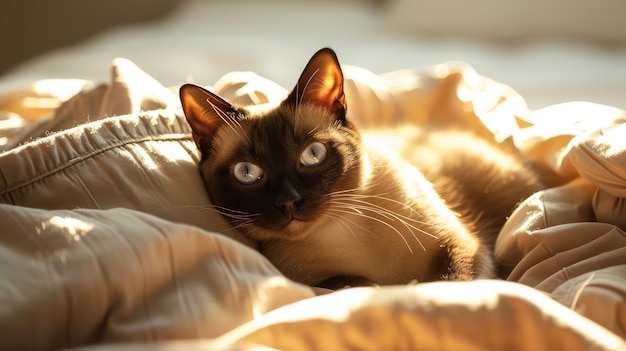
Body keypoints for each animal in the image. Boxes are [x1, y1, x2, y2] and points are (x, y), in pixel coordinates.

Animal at [178, 48, 544, 290]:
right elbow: (356, 283)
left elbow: (455, 283)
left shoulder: (462, 245)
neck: (343, 232)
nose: (289, 202)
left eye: (312, 154)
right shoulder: (312, 280)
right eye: (247, 173)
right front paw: (399, 291)